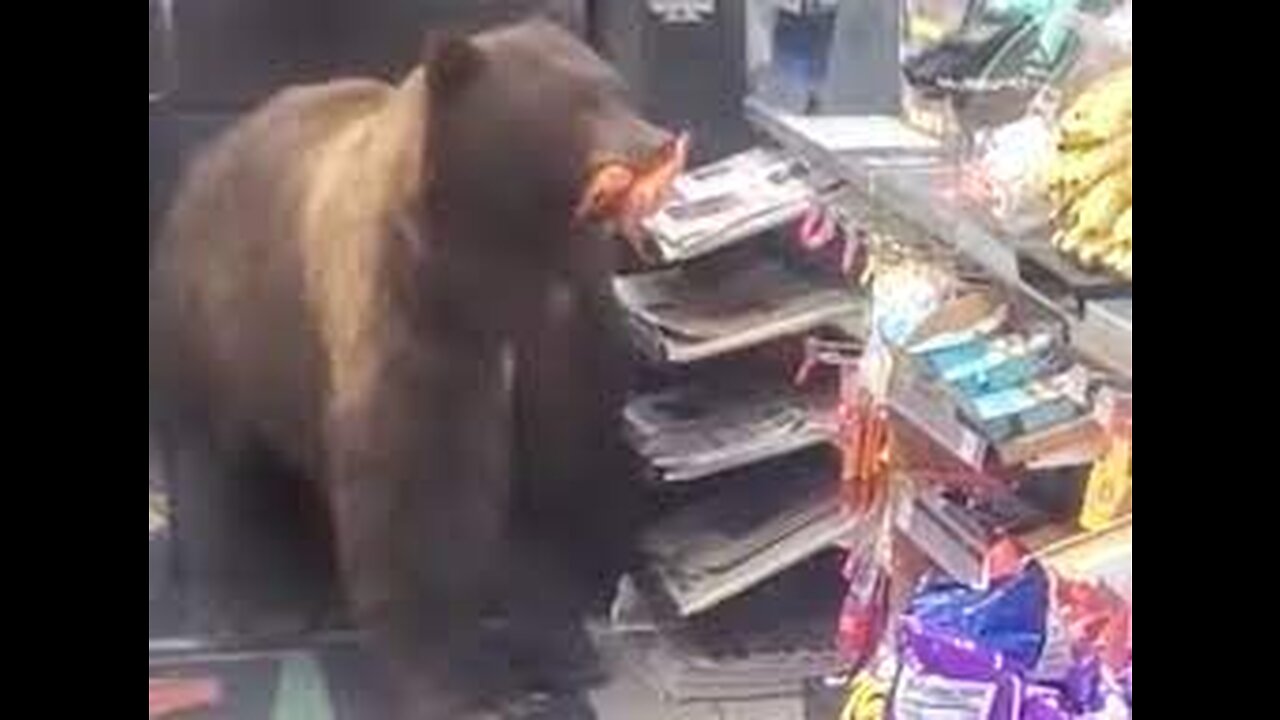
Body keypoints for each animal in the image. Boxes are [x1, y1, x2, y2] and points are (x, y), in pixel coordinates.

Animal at [149, 18, 686, 717]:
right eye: (579, 101)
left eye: (615, 87)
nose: (656, 141)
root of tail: (211, 152)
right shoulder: (412, 325)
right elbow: (418, 494)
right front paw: (460, 680)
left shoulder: (562, 326)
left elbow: (555, 471)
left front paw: (561, 646)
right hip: (221, 324)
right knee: (217, 462)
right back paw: (248, 604)